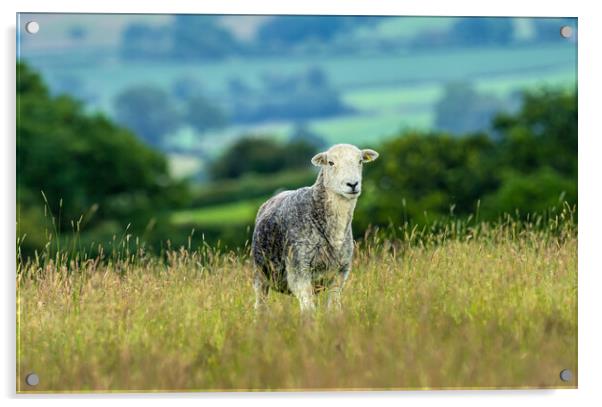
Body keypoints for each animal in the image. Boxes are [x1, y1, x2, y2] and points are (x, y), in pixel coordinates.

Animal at [251, 145, 378, 314]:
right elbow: (308, 310)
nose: (352, 184)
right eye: (330, 162)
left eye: (360, 161)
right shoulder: (299, 270)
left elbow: (334, 306)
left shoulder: (340, 272)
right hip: (261, 274)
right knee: (260, 305)